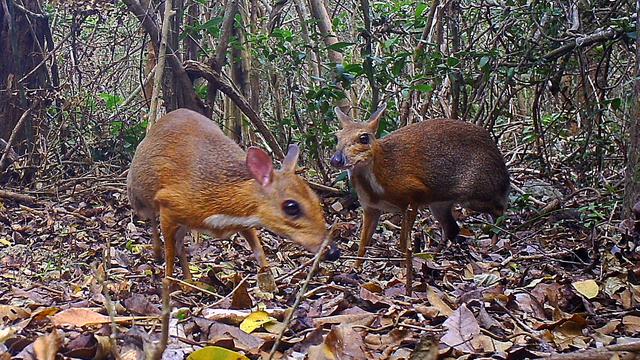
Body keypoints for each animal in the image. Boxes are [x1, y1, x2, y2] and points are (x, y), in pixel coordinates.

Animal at [127, 109, 328, 290]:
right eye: (291, 207)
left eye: (315, 198)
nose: (332, 251)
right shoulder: (168, 203)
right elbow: (169, 253)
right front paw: (168, 283)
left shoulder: (245, 220)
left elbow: (258, 250)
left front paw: (270, 281)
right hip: (139, 197)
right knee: (154, 222)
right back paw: (158, 254)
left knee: (178, 243)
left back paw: (189, 282)